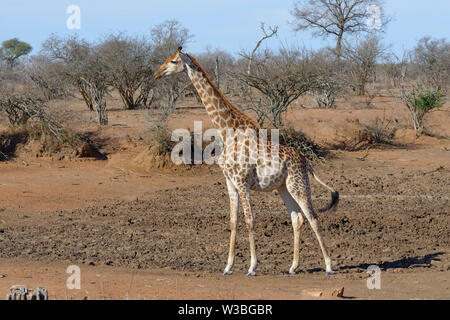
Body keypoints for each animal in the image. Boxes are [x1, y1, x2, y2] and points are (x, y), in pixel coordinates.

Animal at [153, 46, 340, 276]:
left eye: (173, 61)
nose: (157, 74)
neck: (227, 132)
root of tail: (306, 162)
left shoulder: (242, 182)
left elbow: (250, 220)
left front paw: (251, 267)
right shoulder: (230, 182)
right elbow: (234, 221)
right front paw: (227, 267)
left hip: (298, 185)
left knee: (313, 217)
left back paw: (329, 266)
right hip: (284, 188)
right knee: (297, 218)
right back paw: (293, 267)